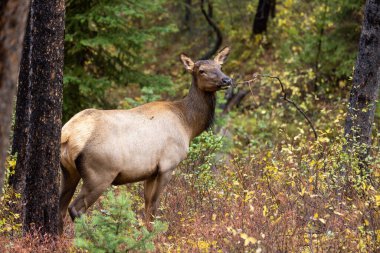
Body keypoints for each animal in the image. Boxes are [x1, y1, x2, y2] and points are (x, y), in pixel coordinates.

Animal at [58, 46, 232, 232]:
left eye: (220, 66)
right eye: (201, 71)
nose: (227, 80)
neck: (188, 124)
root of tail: (68, 134)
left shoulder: (150, 172)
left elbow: (147, 206)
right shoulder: (167, 165)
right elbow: (154, 206)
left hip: (69, 171)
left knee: (60, 207)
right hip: (99, 174)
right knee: (75, 208)